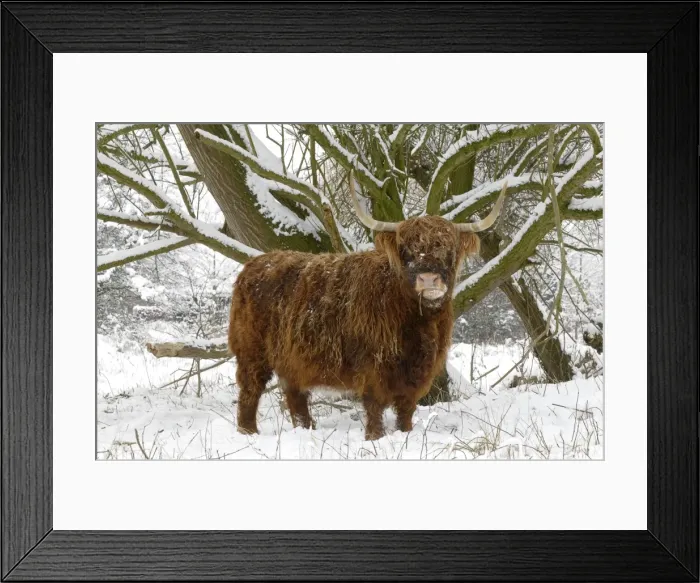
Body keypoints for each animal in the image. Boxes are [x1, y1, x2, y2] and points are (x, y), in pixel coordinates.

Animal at [228, 174, 507, 440]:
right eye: (406, 250)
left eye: (449, 249)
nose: (429, 279)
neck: (417, 321)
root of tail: (254, 264)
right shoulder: (374, 367)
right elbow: (374, 407)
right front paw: (374, 437)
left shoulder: (418, 372)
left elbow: (406, 410)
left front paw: (405, 434)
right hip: (252, 352)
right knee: (250, 390)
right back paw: (248, 432)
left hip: (291, 360)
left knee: (295, 396)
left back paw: (306, 429)